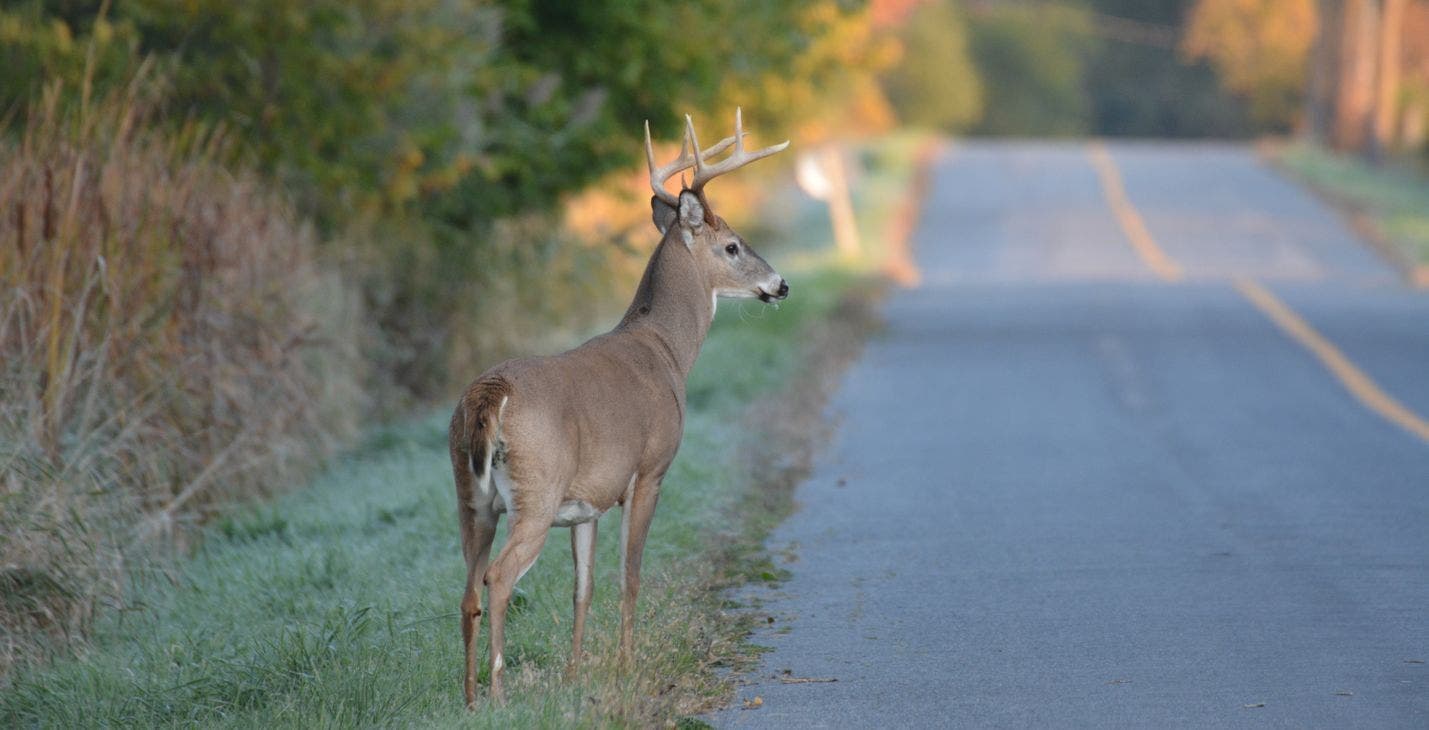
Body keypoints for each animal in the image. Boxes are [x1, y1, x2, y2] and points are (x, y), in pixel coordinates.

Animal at [448, 109, 789, 708]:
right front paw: (627, 666)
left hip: (472, 499)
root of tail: (490, 391)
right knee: (499, 578)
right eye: (732, 246)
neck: (667, 350)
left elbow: (582, 586)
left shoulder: (588, 502)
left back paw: (469, 699)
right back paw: (499, 693)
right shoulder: (649, 469)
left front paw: (574, 675)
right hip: (535, 492)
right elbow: (630, 575)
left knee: (467, 589)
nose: (782, 284)